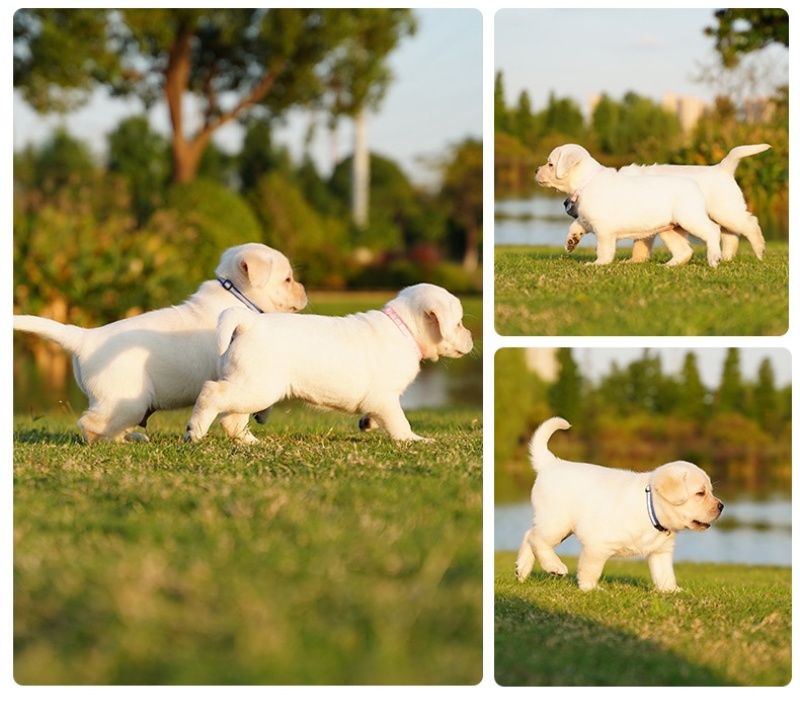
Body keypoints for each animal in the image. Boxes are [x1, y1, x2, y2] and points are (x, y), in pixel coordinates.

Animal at [13, 242, 306, 442]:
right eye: (288, 279)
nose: (305, 290)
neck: (237, 295)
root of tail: (84, 338)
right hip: (128, 402)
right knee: (91, 426)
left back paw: (133, 439)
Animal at [184, 282, 472, 442]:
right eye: (458, 323)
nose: (470, 337)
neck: (404, 328)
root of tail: (248, 323)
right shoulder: (386, 398)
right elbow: (400, 422)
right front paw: (414, 440)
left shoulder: (381, 401)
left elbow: (380, 417)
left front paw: (368, 424)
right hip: (255, 387)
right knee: (212, 394)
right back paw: (194, 432)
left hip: (253, 389)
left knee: (231, 420)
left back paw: (252, 442)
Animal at [516, 416, 720, 592]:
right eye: (700, 493)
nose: (721, 506)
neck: (650, 509)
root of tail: (551, 463)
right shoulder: (597, 545)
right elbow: (590, 570)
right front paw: (590, 589)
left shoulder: (661, 552)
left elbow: (665, 575)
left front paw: (672, 591)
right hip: (557, 523)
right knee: (537, 539)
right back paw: (554, 566)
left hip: (556, 525)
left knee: (529, 535)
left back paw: (522, 570)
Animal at [536, 144, 724, 268]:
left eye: (550, 164)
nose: (536, 170)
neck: (586, 181)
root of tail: (694, 185)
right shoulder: (587, 219)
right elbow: (575, 225)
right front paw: (571, 241)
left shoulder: (603, 230)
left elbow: (604, 250)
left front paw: (598, 264)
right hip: (670, 229)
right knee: (684, 251)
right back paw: (668, 265)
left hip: (690, 219)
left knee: (712, 230)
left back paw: (714, 258)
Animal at [564, 144, 768, 262]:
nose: (565, 203)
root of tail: (722, 168)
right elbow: (640, 245)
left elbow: (638, 245)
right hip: (722, 215)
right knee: (731, 235)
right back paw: (725, 257)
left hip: (725, 212)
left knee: (749, 224)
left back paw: (759, 251)